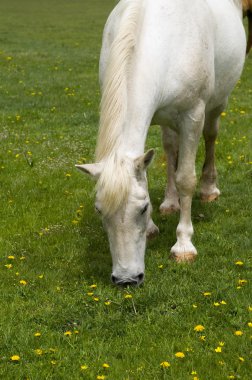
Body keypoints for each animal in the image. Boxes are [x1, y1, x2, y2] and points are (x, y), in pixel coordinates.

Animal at [76, 0, 244, 284]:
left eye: (143, 208)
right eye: (99, 211)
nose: (126, 279)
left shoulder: (192, 116)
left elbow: (186, 178)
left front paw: (184, 245)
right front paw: (154, 226)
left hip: (217, 104)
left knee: (211, 137)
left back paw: (209, 189)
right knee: (170, 146)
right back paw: (170, 202)